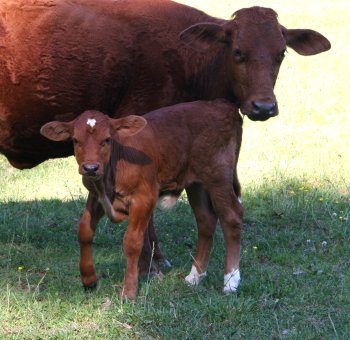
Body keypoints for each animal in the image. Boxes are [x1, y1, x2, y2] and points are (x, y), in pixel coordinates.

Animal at [40, 99, 243, 298]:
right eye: (75, 140)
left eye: (107, 139)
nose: (90, 168)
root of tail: (224, 105)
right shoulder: (96, 197)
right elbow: (84, 231)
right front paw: (89, 279)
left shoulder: (144, 198)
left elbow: (132, 242)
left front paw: (129, 291)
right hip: (196, 183)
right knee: (205, 220)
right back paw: (194, 276)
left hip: (218, 176)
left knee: (232, 217)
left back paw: (230, 280)